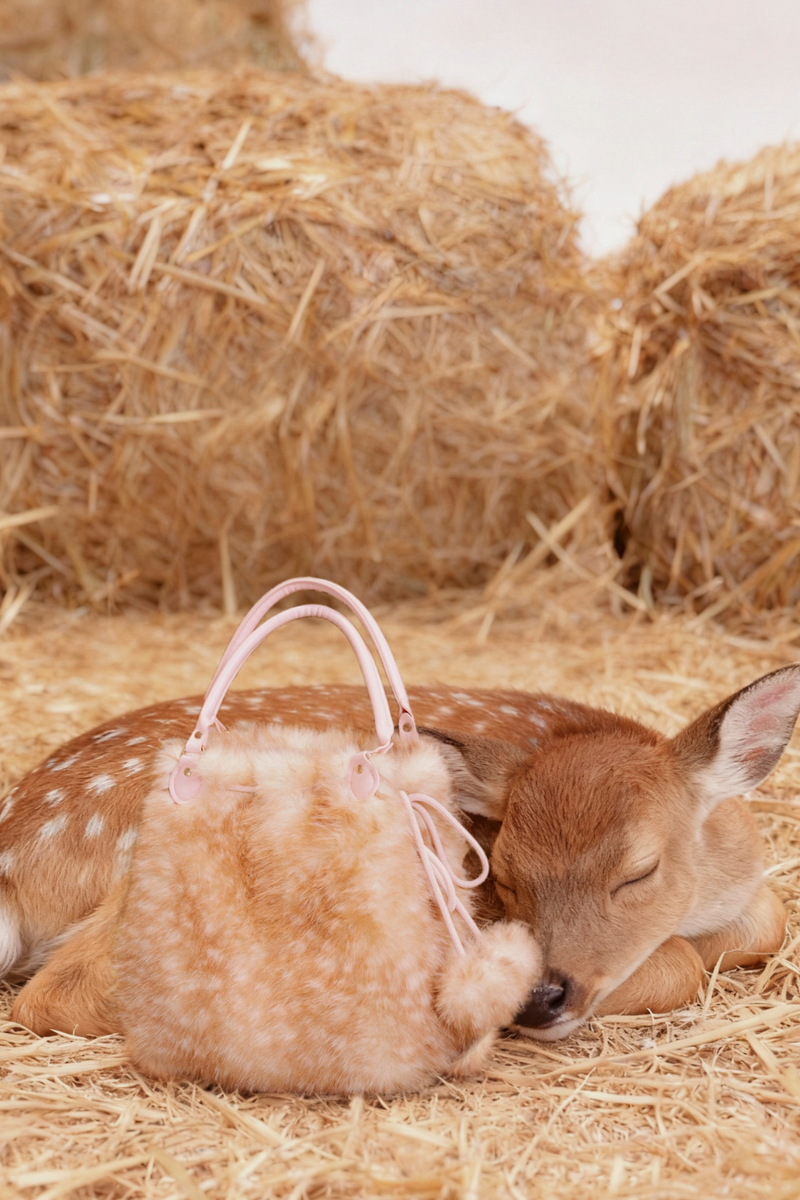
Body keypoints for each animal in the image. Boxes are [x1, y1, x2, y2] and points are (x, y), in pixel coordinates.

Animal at [1, 666, 796, 1046]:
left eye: (638, 872)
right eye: (505, 877)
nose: (541, 997)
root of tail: (15, 849)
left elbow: (770, 919)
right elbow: (681, 963)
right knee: (62, 991)